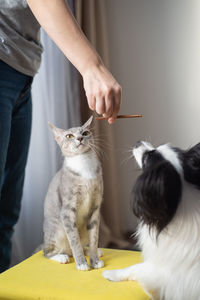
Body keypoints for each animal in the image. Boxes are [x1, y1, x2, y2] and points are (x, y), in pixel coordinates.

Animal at [42, 116, 104, 270]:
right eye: (69, 136)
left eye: (85, 132)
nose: (80, 138)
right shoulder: (67, 210)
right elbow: (74, 240)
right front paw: (82, 263)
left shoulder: (95, 207)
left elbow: (94, 238)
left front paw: (94, 260)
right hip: (57, 229)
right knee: (47, 252)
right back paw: (61, 256)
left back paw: (94, 251)